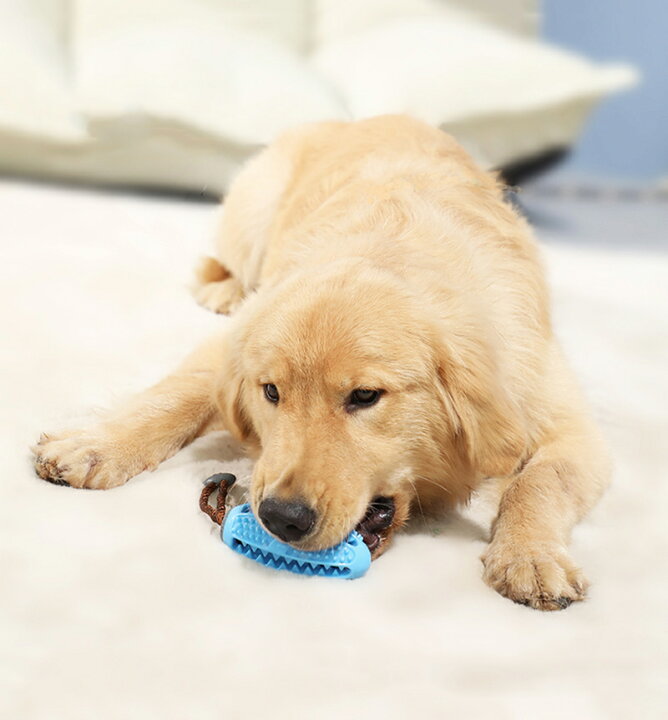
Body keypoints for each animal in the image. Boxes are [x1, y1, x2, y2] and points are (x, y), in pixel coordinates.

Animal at [35, 115, 612, 612]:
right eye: (271, 392)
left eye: (365, 396)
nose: (280, 518)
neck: (393, 256)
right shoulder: (234, 342)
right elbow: (176, 394)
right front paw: (94, 444)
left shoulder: (563, 420)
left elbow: (538, 482)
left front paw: (530, 557)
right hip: (251, 213)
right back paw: (222, 289)